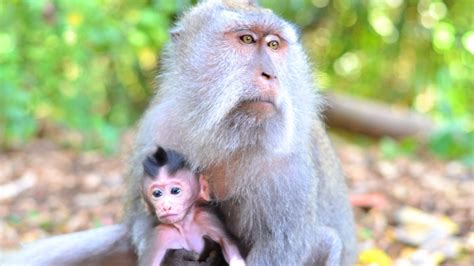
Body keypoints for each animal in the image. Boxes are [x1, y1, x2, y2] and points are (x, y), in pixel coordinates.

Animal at [126, 0, 356, 266]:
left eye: (273, 45)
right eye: (247, 39)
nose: (271, 74)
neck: (225, 135)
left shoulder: (288, 165)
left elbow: (280, 246)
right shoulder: (157, 127)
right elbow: (142, 219)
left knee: (329, 241)